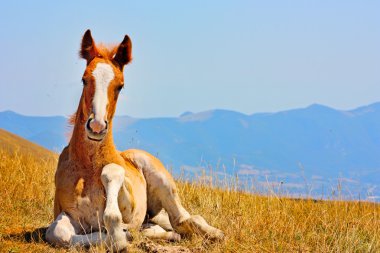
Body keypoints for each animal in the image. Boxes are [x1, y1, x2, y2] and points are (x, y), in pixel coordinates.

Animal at [45, 29, 224, 251]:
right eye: (84, 79)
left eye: (120, 86)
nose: (97, 126)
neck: (87, 169)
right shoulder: (67, 213)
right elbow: (57, 233)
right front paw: (121, 237)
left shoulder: (130, 209)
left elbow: (112, 204)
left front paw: (121, 236)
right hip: (153, 215)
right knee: (165, 225)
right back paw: (165, 235)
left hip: (160, 179)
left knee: (184, 219)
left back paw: (216, 234)